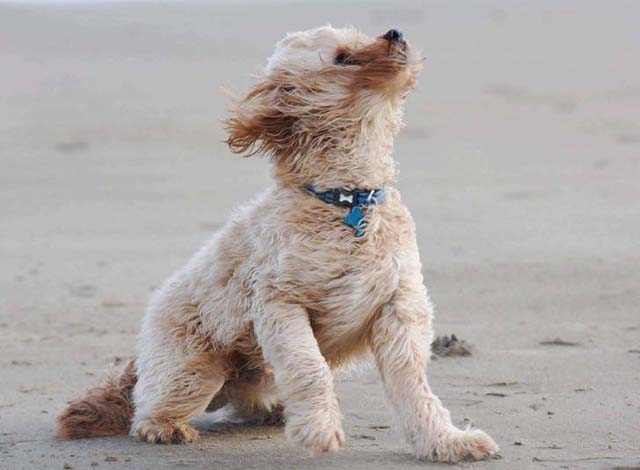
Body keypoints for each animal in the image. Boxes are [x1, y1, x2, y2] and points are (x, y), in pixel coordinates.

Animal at [57, 25, 500, 462]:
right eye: (343, 57)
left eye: (360, 35)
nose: (396, 32)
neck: (346, 200)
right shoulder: (280, 304)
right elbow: (309, 366)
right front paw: (318, 428)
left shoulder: (398, 306)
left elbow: (414, 386)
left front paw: (445, 441)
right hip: (194, 370)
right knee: (145, 409)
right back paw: (166, 427)